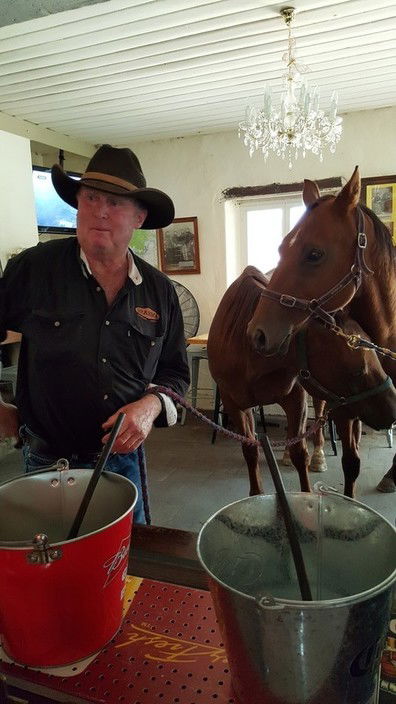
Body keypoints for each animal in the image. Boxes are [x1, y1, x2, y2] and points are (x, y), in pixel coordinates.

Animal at [207, 266, 396, 498]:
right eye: (359, 370)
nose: (393, 409)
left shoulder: (298, 400)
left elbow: (301, 453)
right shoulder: (235, 405)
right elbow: (250, 449)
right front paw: (256, 492)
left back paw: (320, 455)